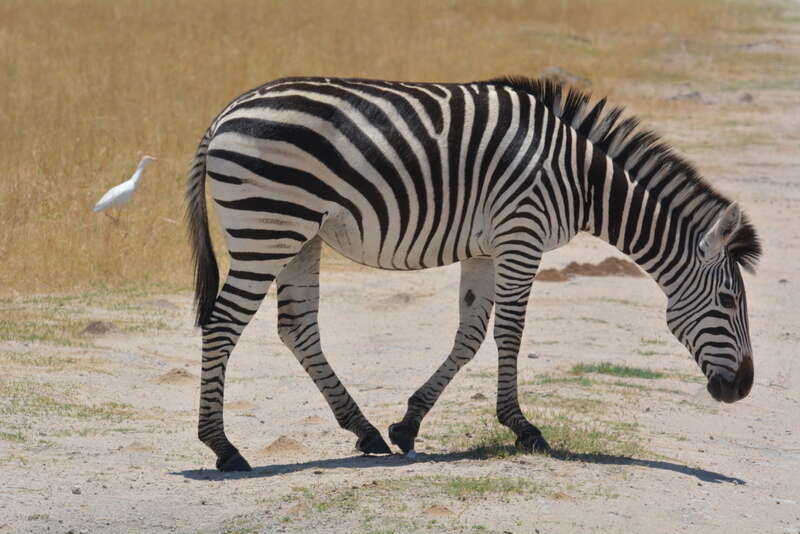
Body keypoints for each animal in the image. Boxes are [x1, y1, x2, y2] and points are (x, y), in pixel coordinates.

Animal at [184, 76, 760, 474]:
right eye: (729, 303)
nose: (743, 389)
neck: (584, 180)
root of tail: (224, 114)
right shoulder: (521, 234)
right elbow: (509, 332)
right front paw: (524, 429)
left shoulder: (486, 248)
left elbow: (470, 333)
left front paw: (408, 424)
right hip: (268, 227)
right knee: (224, 323)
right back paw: (223, 447)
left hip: (300, 234)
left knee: (297, 328)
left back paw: (365, 431)